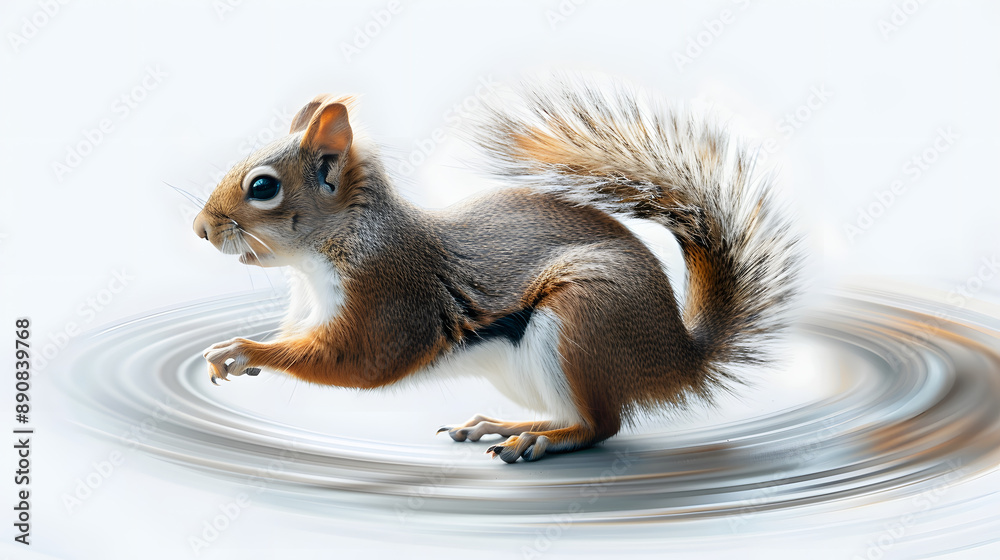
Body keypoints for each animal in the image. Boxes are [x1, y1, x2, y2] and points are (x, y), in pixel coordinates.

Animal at [192, 76, 801, 463]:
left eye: (263, 187)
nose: (199, 230)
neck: (322, 258)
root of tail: (676, 356)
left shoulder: (390, 298)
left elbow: (358, 361)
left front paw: (243, 351)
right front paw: (237, 353)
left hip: (582, 319)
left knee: (599, 426)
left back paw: (536, 443)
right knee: (574, 414)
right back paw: (503, 425)